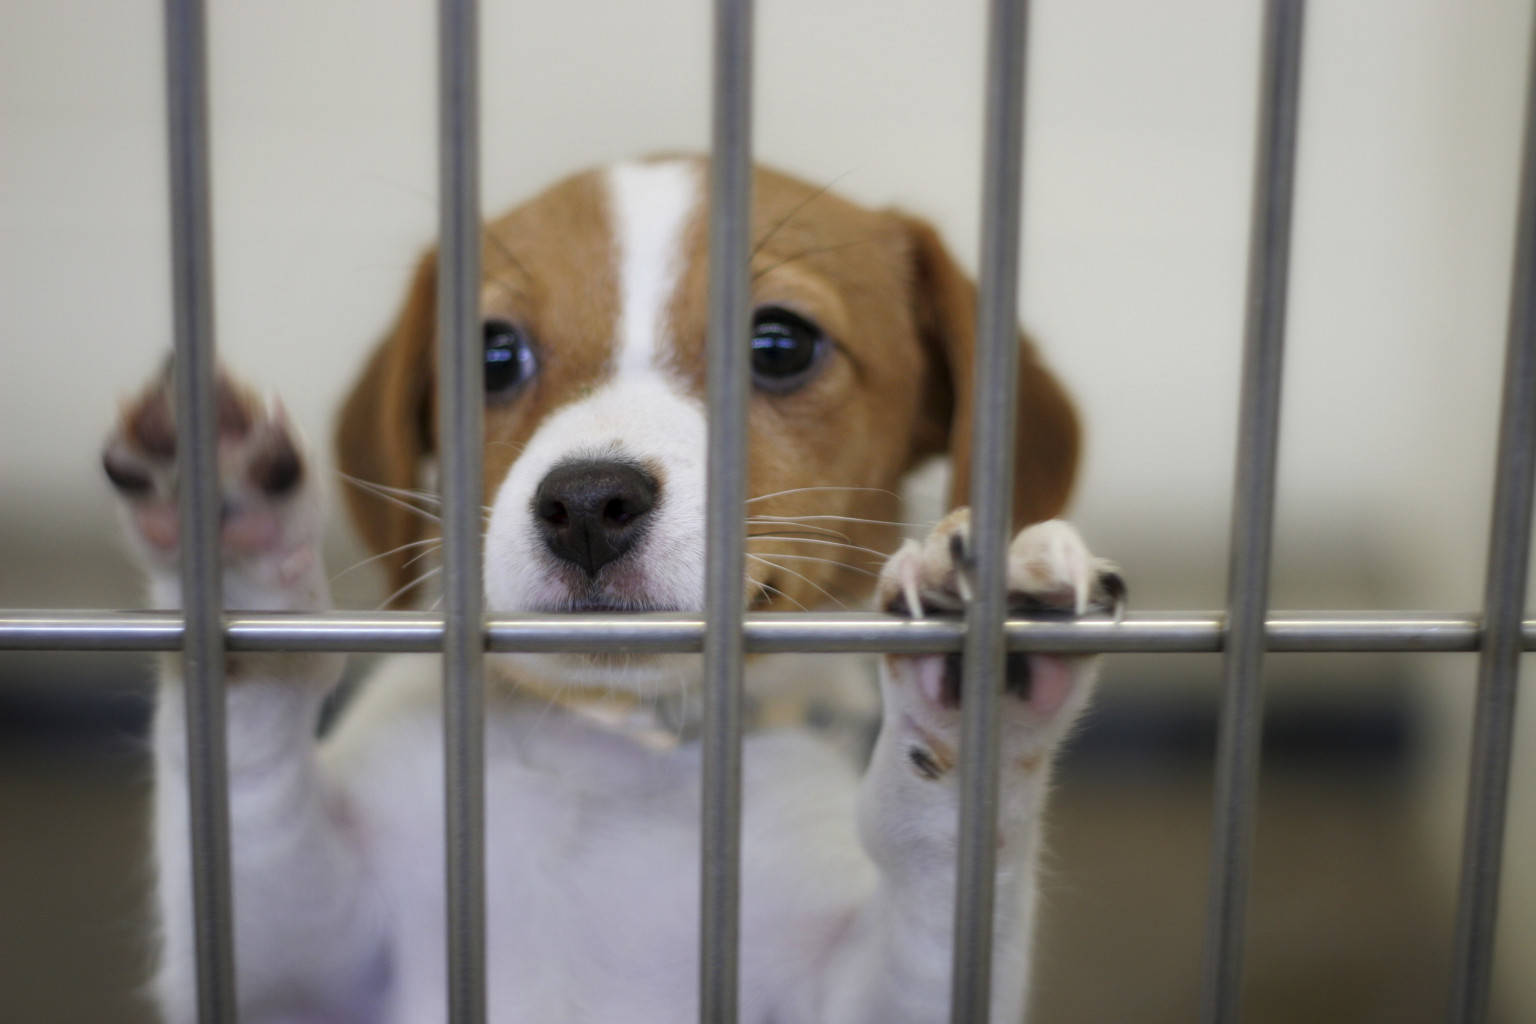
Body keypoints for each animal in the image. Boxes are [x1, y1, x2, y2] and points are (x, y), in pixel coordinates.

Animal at [105, 158, 1118, 1024]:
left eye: (780, 345)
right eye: (492, 354)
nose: (588, 503)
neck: (621, 756)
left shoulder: (875, 992)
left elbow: (938, 855)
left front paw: (979, 687)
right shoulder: (294, 970)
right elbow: (249, 766)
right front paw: (232, 545)